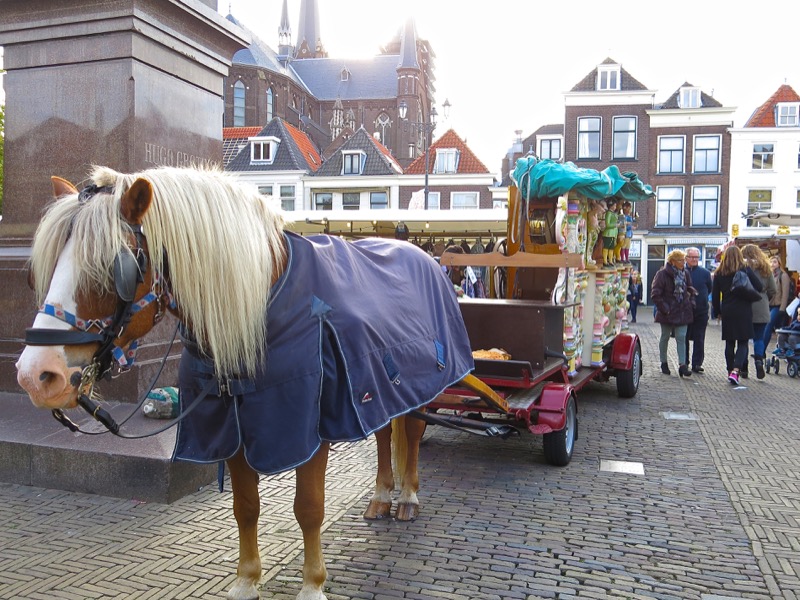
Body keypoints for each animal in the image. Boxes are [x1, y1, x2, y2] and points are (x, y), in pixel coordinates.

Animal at [14, 166, 476, 600]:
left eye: (118, 266)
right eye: (44, 267)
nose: (36, 375)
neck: (259, 307)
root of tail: (423, 255)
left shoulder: (308, 429)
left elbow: (309, 508)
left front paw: (313, 585)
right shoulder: (232, 425)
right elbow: (245, 507)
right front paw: (247, 579)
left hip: (418, 387)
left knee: (411, 433)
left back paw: (408, 499)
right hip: (378, 389)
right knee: (383, 435)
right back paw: (380, 498)